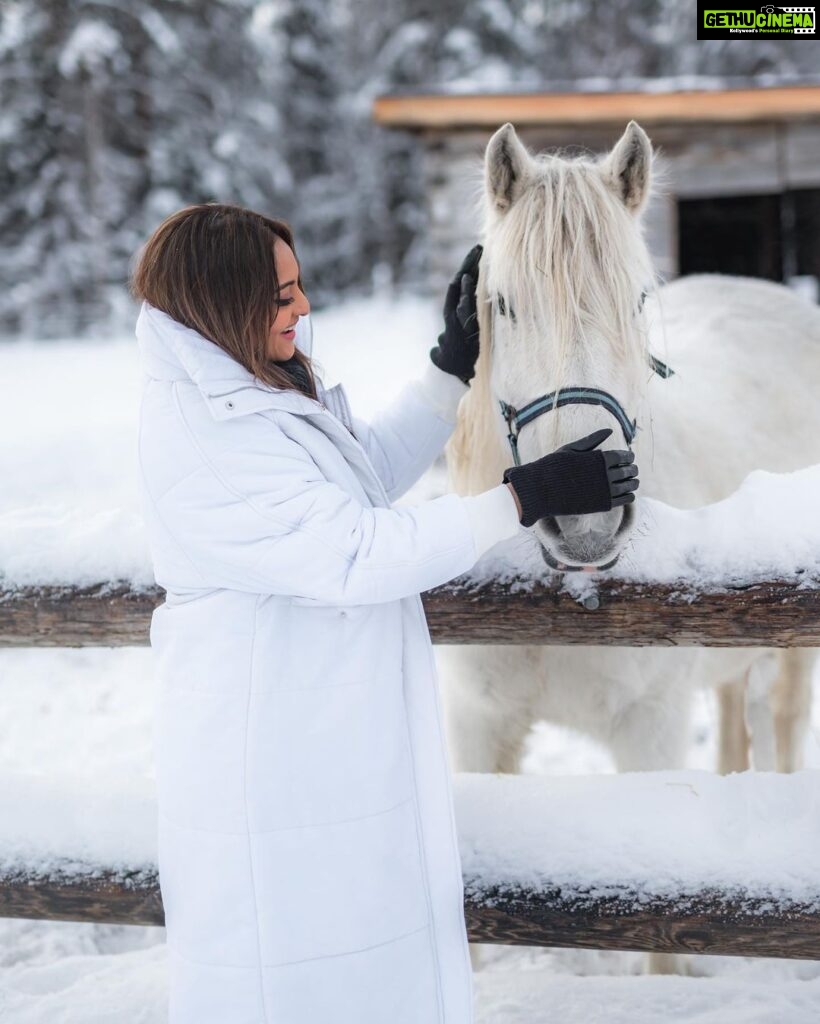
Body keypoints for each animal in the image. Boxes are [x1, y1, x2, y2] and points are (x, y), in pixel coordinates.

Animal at [434, 121, 818, 966]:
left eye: (637, 301)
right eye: (502, 305)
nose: (586, 519)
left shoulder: (649, 733)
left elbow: (659, 942)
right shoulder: (476, 731)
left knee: (781, 722)